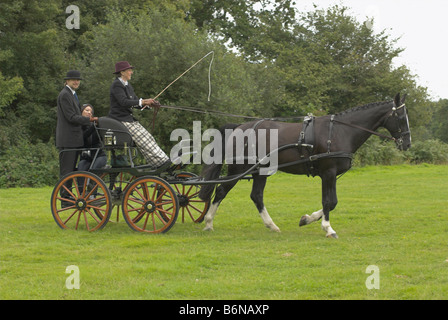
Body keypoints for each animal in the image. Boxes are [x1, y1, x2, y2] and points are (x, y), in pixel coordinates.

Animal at [198, 92, 412, 238]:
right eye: (401, 117)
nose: (407, 144)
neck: (341, 131)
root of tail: (239, 128)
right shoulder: (328, 172)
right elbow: (329, 202)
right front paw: (328, 228)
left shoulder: (332, 174)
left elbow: (332, 202)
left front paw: (307, 219)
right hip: (239, 168)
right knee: (221, 191)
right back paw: (208, 222)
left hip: (260, 171)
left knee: (256, 196)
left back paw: (271, 225)